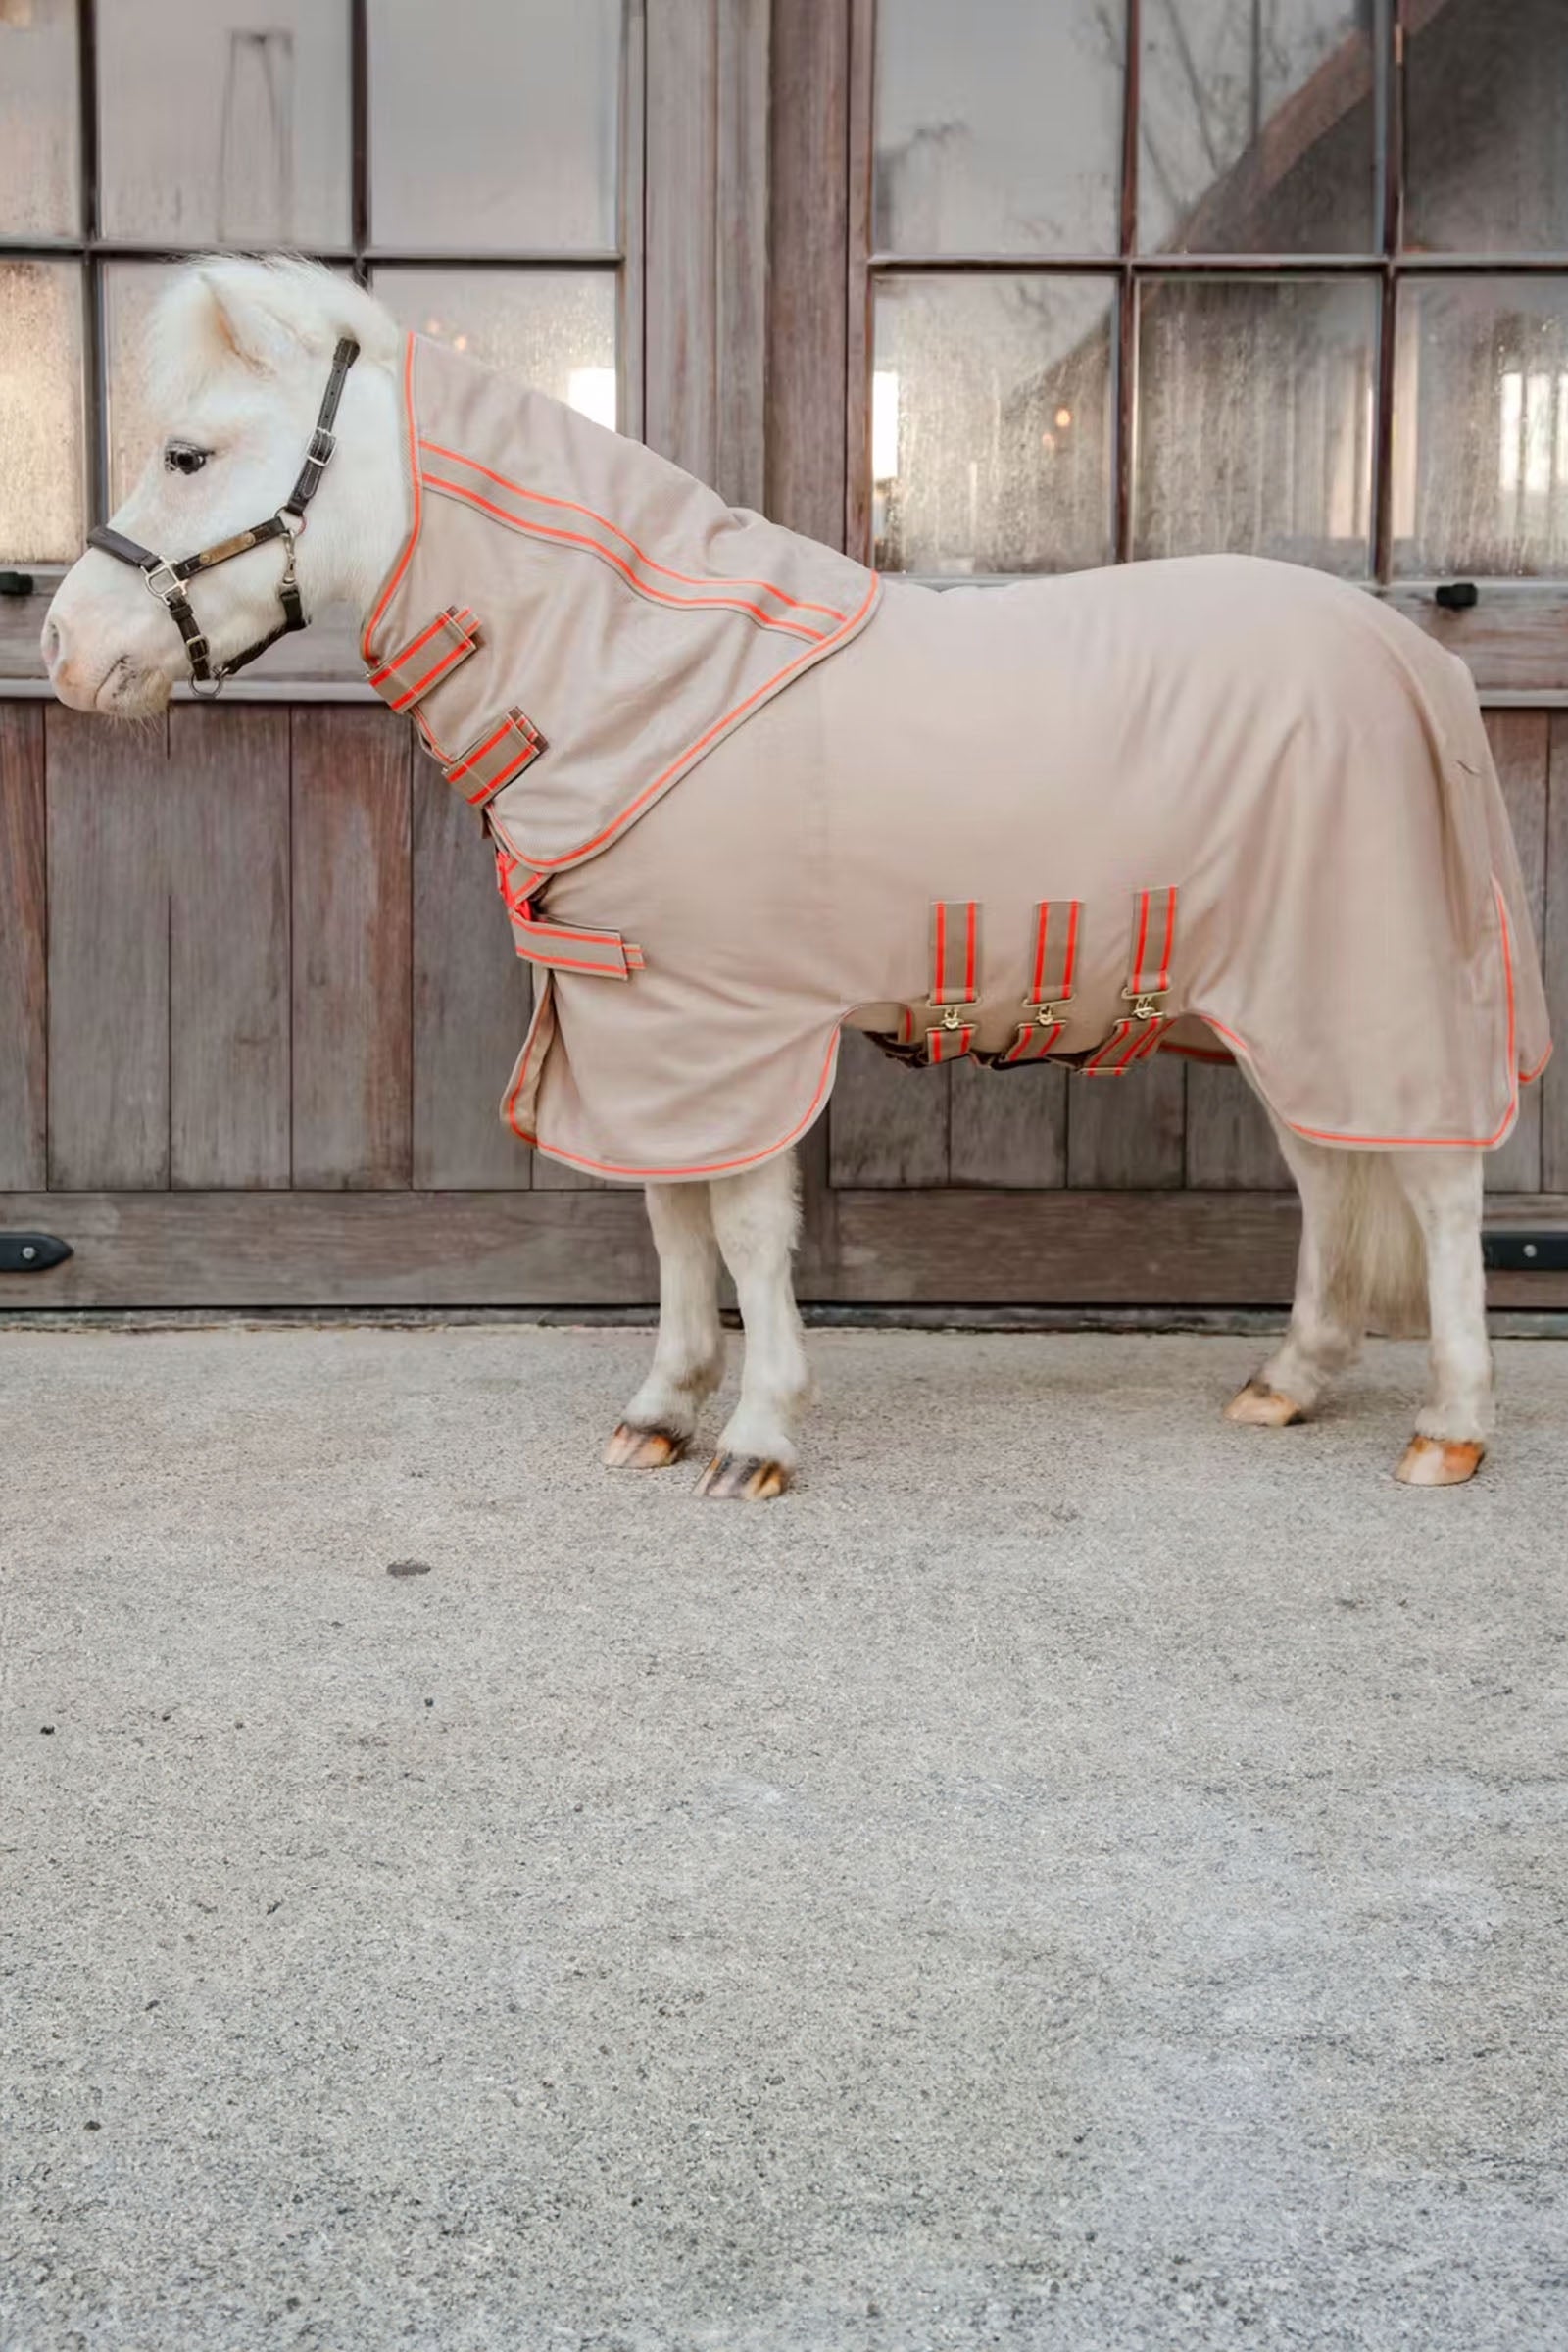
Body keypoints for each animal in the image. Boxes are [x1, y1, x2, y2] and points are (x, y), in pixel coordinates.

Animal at [42, 256, 1550, 1498]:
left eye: (187, 451)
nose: (64, 647)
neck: (650, 677)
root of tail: (1412, 656)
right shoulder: (643, 1032)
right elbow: (672, 1224)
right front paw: (662, 1410)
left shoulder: (738, 1027)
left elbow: (749, 1233)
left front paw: (758, 1435)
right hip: (1279, 1004)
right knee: (1333, 1170)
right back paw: (1289, 1382)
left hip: (1369, 986)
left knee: (1437, 1189)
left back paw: (1450, 1429)